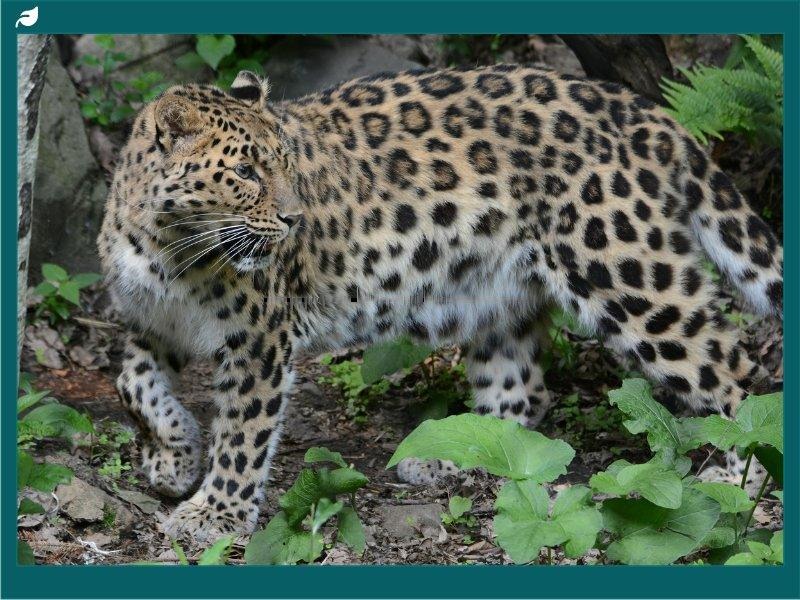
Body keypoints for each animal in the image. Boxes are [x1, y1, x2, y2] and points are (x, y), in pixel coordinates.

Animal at [97, 64, 783, 544]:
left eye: (289, 164)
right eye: (244, 173)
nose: (296, 220)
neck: (169, 246)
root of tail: (651, 114)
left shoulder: (260, 339)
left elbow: (243, 433)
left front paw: (215, 514)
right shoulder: (152, 320)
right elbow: (132, 381)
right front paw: (173, 458)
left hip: (624, 273)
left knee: (734, 369)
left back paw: (736, 477)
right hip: (499, 295)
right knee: (520, 396)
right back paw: (447, 458)